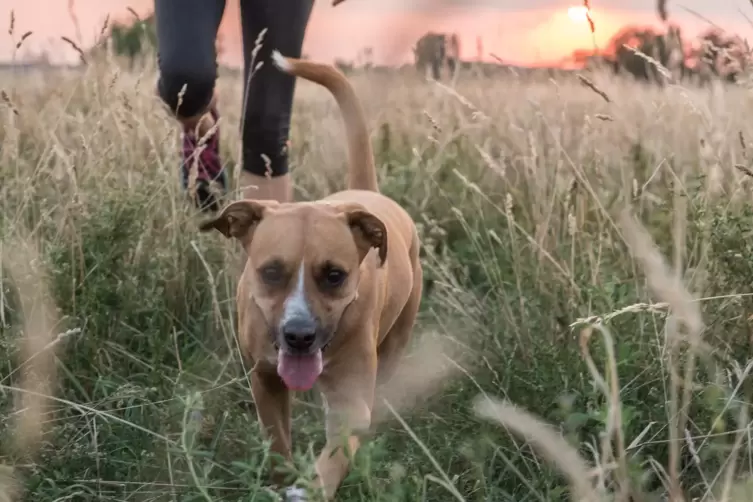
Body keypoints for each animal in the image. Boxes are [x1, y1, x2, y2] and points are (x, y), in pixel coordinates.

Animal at [198, 51, 424, 498]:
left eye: (334, 275)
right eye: (270, 271)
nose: (299, 336)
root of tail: (367, 194)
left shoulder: (351, 400)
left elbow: (335, 455)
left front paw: (309, 488)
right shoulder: (265, 379)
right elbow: (276, 441)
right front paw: (283, 480)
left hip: (397, 337)